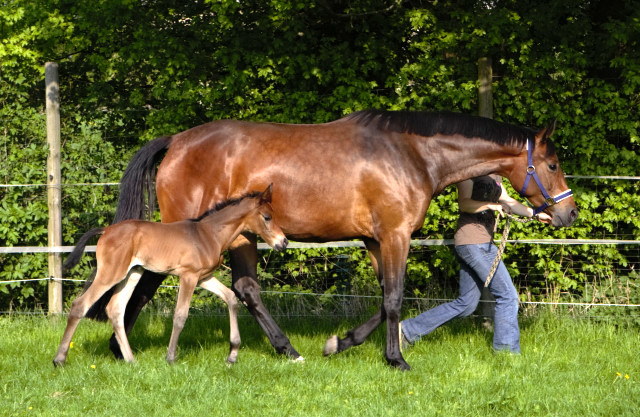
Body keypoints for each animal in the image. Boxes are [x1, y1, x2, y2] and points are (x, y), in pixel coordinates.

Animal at [52, 184, 288, 366]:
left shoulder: (203, 277)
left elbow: (230, 298)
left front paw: (232, 354)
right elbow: (180, 315)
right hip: (111, 273)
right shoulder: (188, 276)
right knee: (80, 305)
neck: (208, 234)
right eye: (267, 217)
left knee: (115, 309)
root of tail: (106, 230)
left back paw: (131, 360)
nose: (283, 242)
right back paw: (59, 359)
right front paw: (171, 357)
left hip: (132, 273)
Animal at [84, 110, 576, 370]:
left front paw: (340, 343)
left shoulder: (376, 241)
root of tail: (178, 142)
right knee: (191, 284)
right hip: (209, 233)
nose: (567, 212)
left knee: (239, 289)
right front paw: (396, 360)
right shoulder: (395, 235)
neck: (411, 155)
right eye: (552, 164)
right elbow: (394, 298)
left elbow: (385, 297)